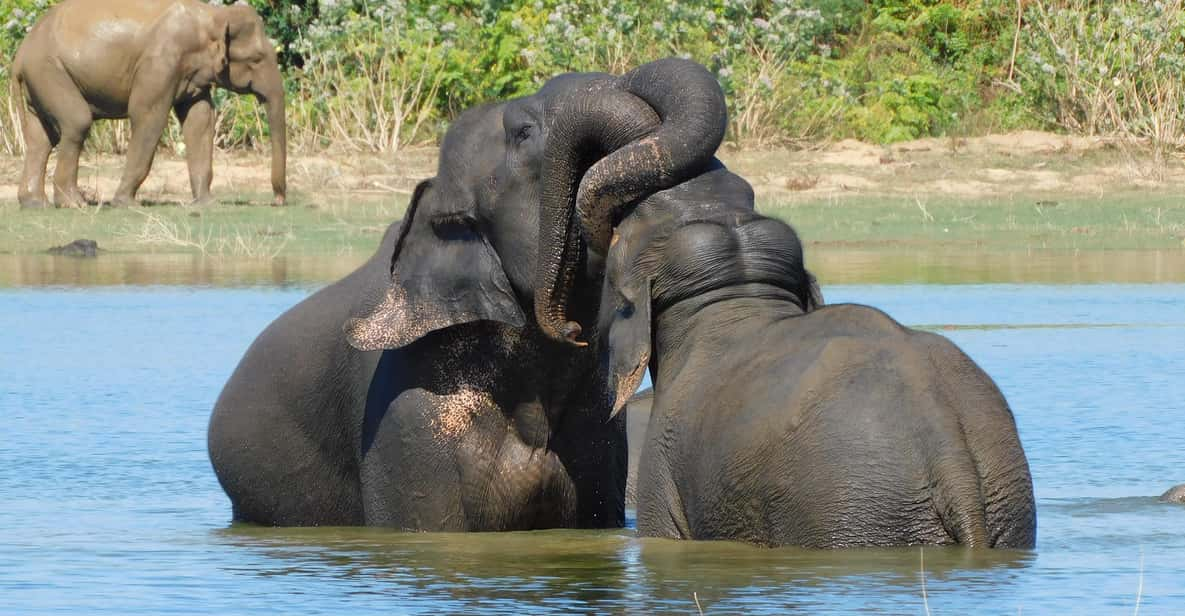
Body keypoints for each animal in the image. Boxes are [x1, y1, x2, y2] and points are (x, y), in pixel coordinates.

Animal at [10, 0, 285, 209]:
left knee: (41, 139)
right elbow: (148, 116)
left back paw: (35, 204)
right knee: (77, 123)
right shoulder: (160, 63)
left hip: (40, 82)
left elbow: (200, 120)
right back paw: (74, 204)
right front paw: (125, 204)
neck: (211, 16)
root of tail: (20, 55)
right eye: (257, 59)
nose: (277, 201)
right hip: (49, 72)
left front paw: (207, 204)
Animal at [530, 63, 1038, 549]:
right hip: (1005, 501)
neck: (734, 288)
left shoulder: (663, 474)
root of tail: (952, 459)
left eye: (622, 226)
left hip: (850, 507)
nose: (570, 330)